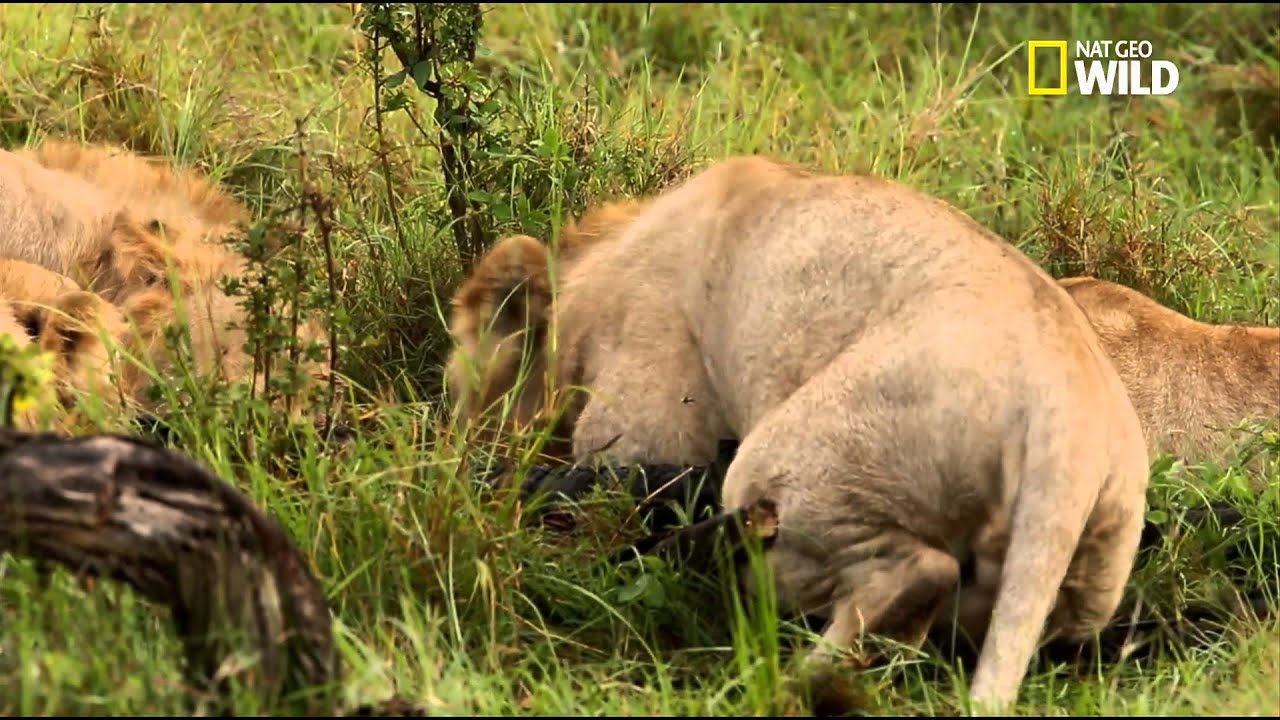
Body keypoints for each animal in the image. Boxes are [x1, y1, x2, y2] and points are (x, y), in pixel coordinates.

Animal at [446, 156, 1151, 712]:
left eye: (464, 387)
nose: (462, 460)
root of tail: (1071, 420)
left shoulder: (648, 426)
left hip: (793, 464)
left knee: (913, 570)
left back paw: (781, 682)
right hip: (1080, 583)